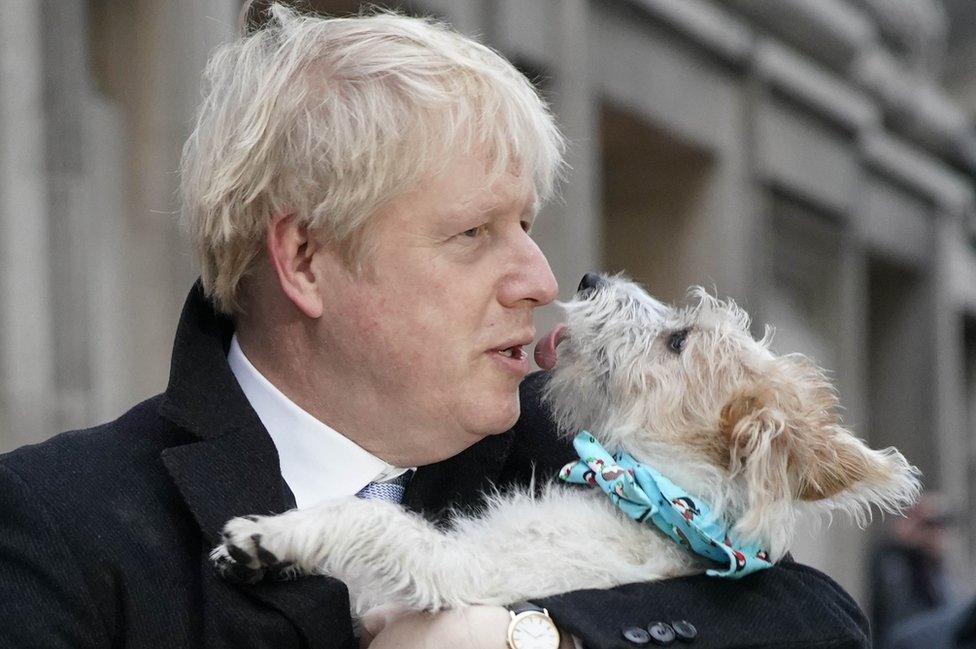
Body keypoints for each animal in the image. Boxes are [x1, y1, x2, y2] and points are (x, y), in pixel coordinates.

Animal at [210, 272, 920, 612]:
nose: (589, 279)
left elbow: (375, 522)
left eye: (678, 341)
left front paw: (267, 537)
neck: (657, 502)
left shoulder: (461, 576)